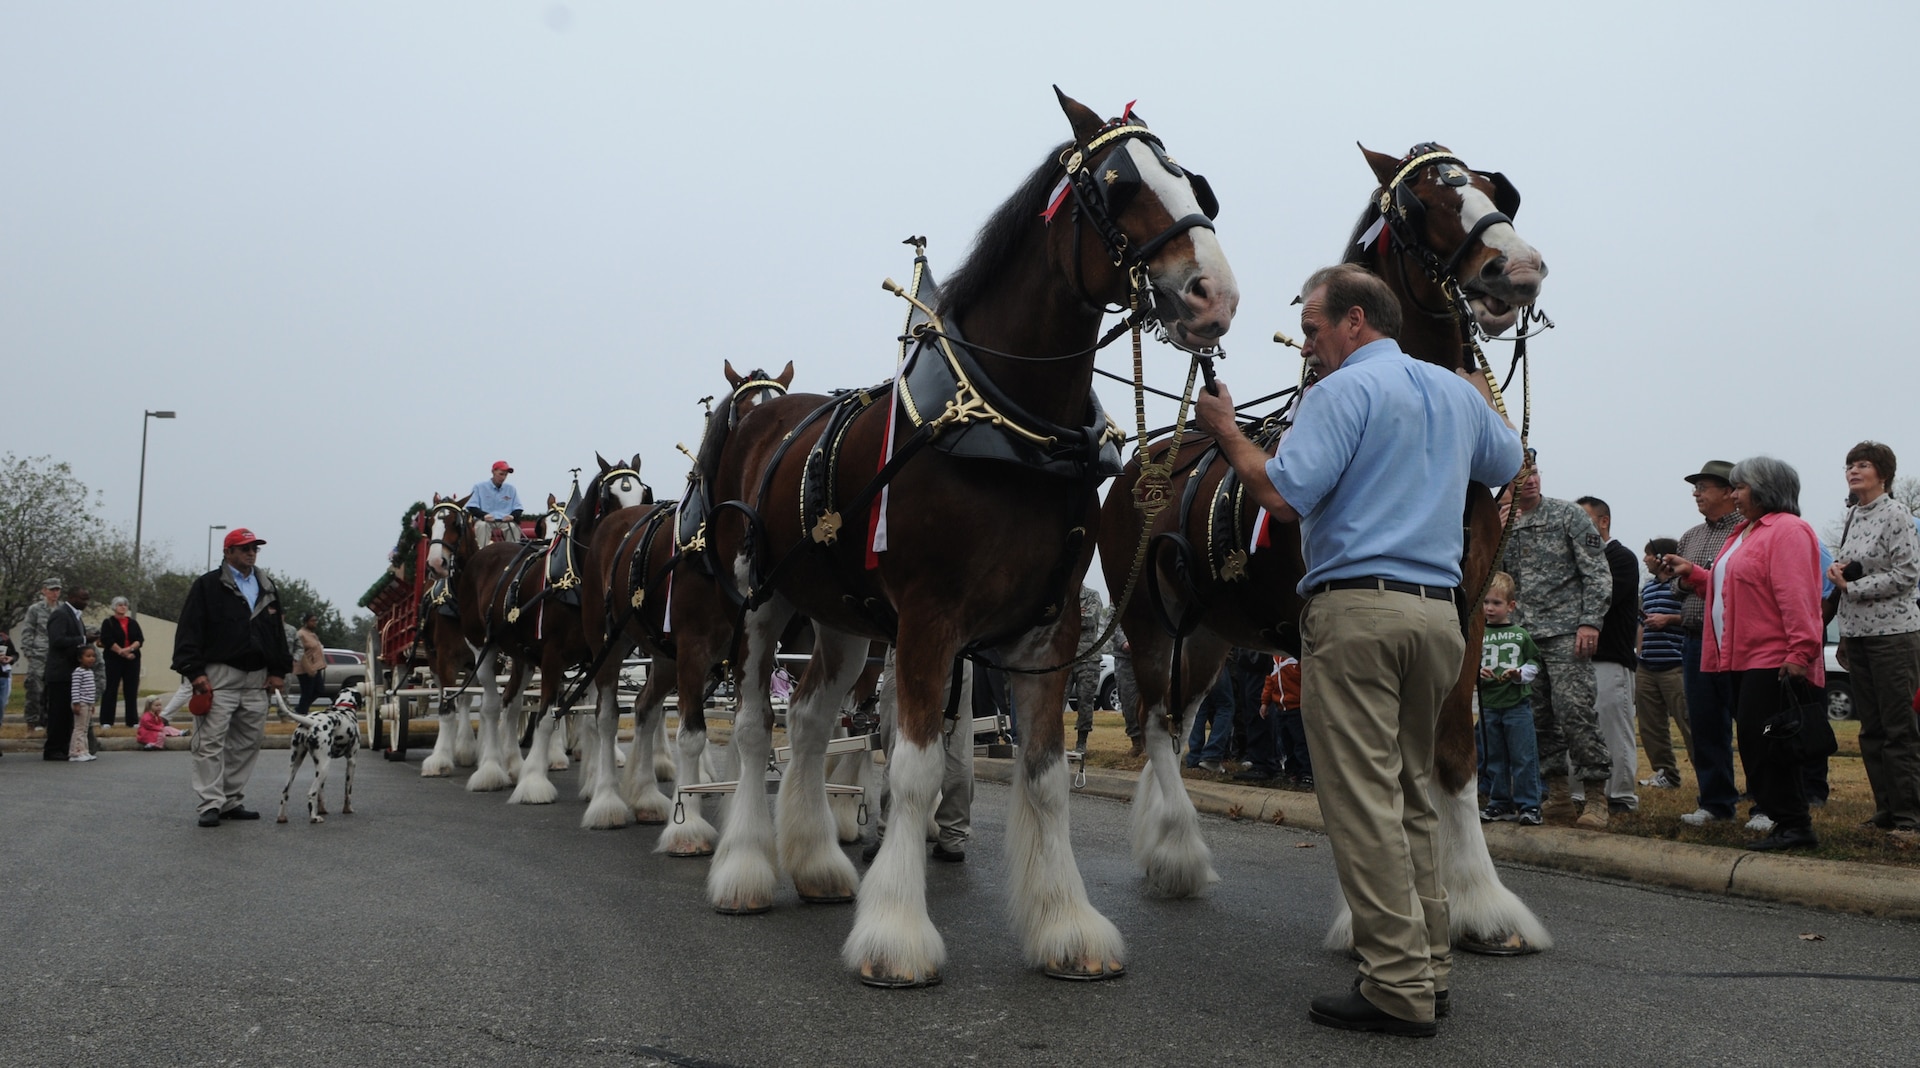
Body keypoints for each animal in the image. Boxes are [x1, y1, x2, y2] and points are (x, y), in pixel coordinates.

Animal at [276, 683, 360, 825]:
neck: (344, 709)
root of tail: (311, 722)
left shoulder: (318, 768)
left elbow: (321, 792)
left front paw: (322, 809)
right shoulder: (352, 761)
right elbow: (348, 791)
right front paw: (348, 809)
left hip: (296, 765)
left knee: (285, 792)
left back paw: (282, 817)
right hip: (325, 766)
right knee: (311, 793)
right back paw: (314, 817)